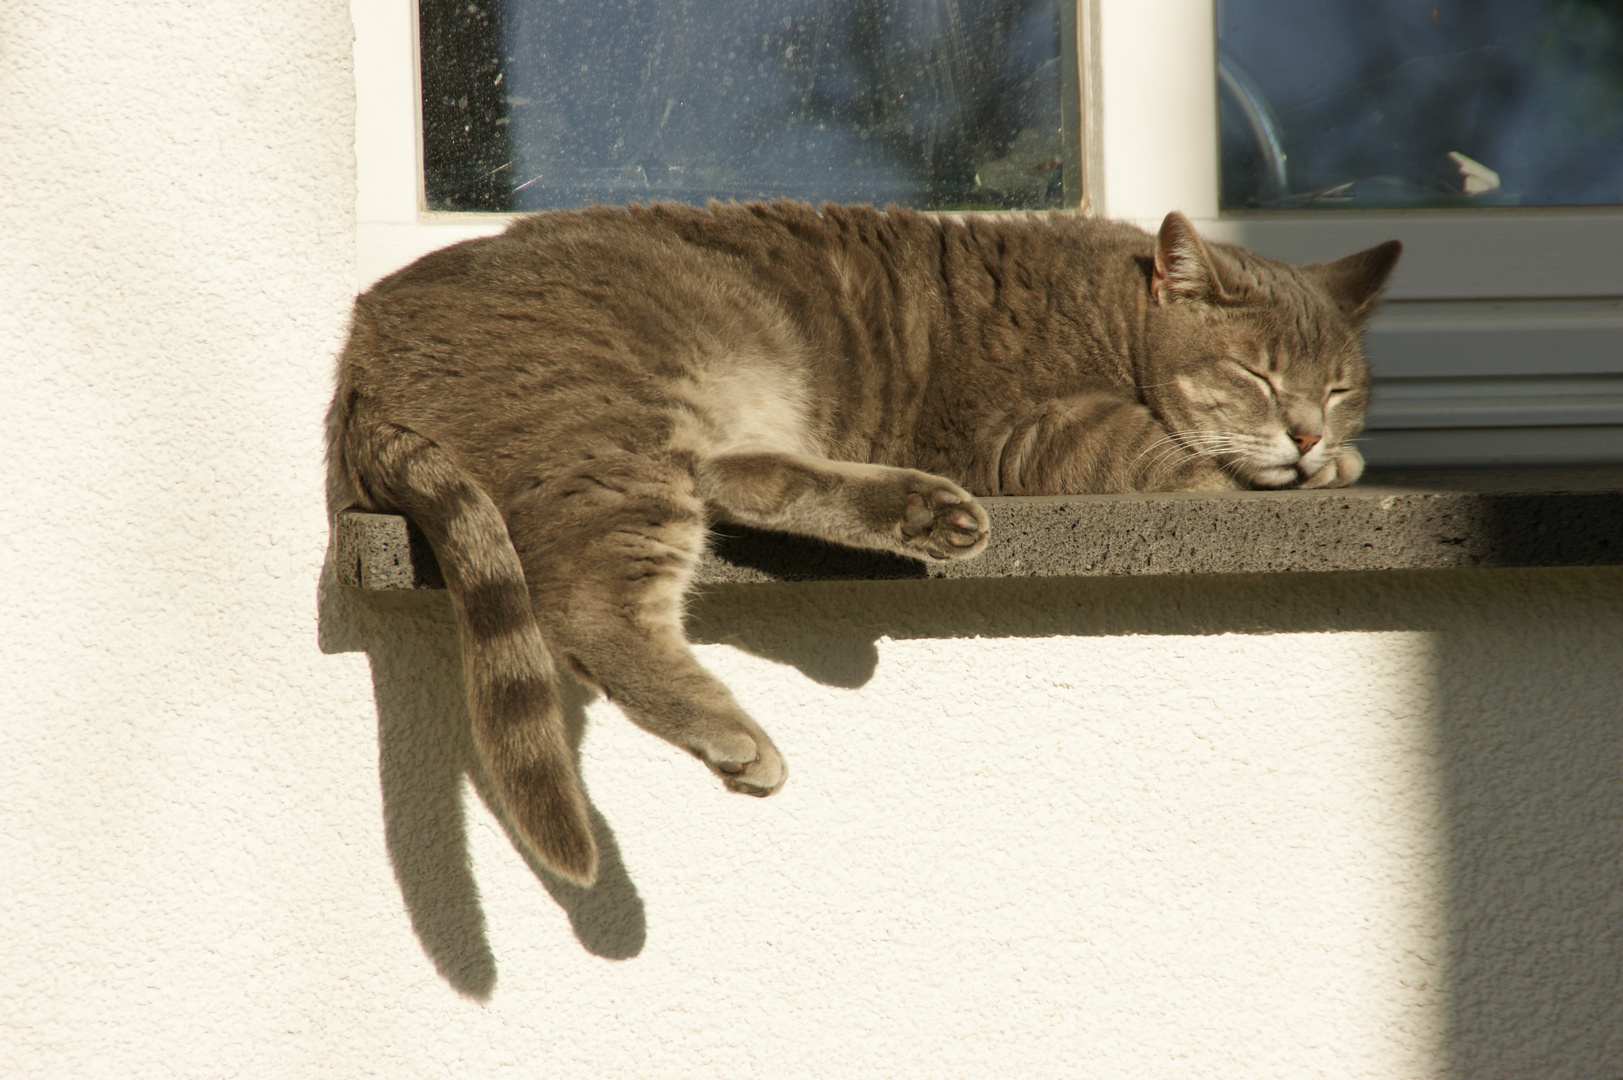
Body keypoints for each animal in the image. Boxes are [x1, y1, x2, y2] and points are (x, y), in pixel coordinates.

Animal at [326, 202, 1395, 883]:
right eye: (1257, 375)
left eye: (1340, 386)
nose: (1309, 433)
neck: (1112, 306)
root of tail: (356, 351)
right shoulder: (1037, 431)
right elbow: (1173, 456)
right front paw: (1313, 470)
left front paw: (1333, 459)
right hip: (613, 430)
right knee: (591, 602)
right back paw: (738, 736)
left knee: (737, 480)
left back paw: (927, 514)